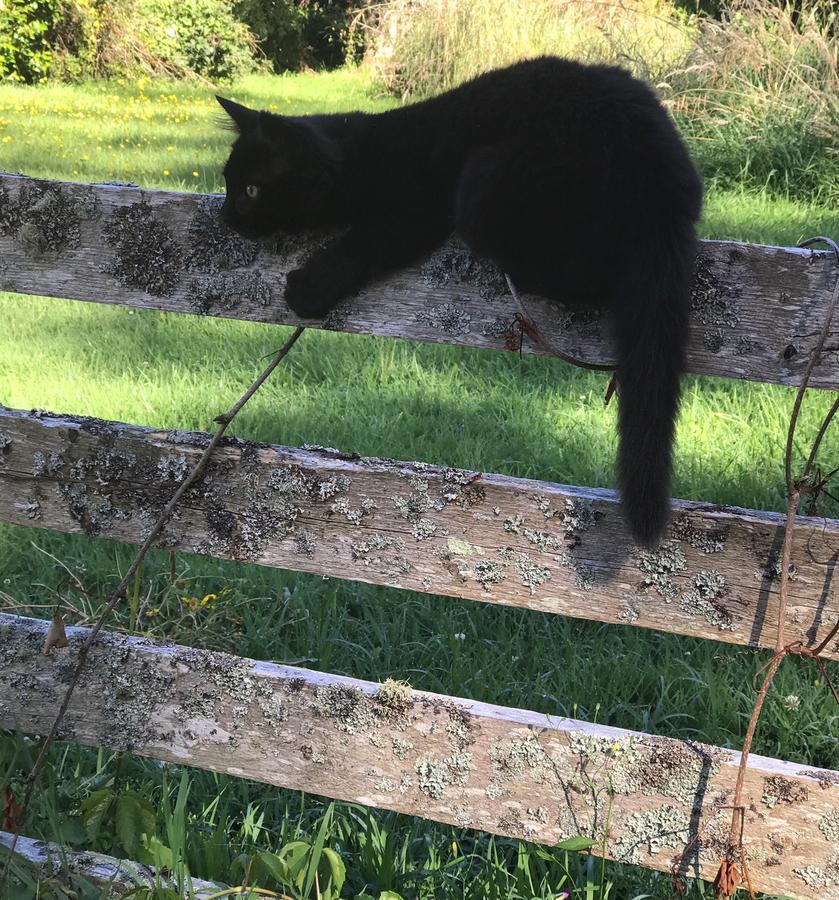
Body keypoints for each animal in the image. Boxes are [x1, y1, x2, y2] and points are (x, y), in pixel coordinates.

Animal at [217, 59, 704, 548]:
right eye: (227, 183)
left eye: (253, 190)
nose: (225, 216)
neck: (356, 156)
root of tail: (659, 174)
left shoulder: (411, 210)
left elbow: (361, 246)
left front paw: (307, 288)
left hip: (483, 183)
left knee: (586, 276)